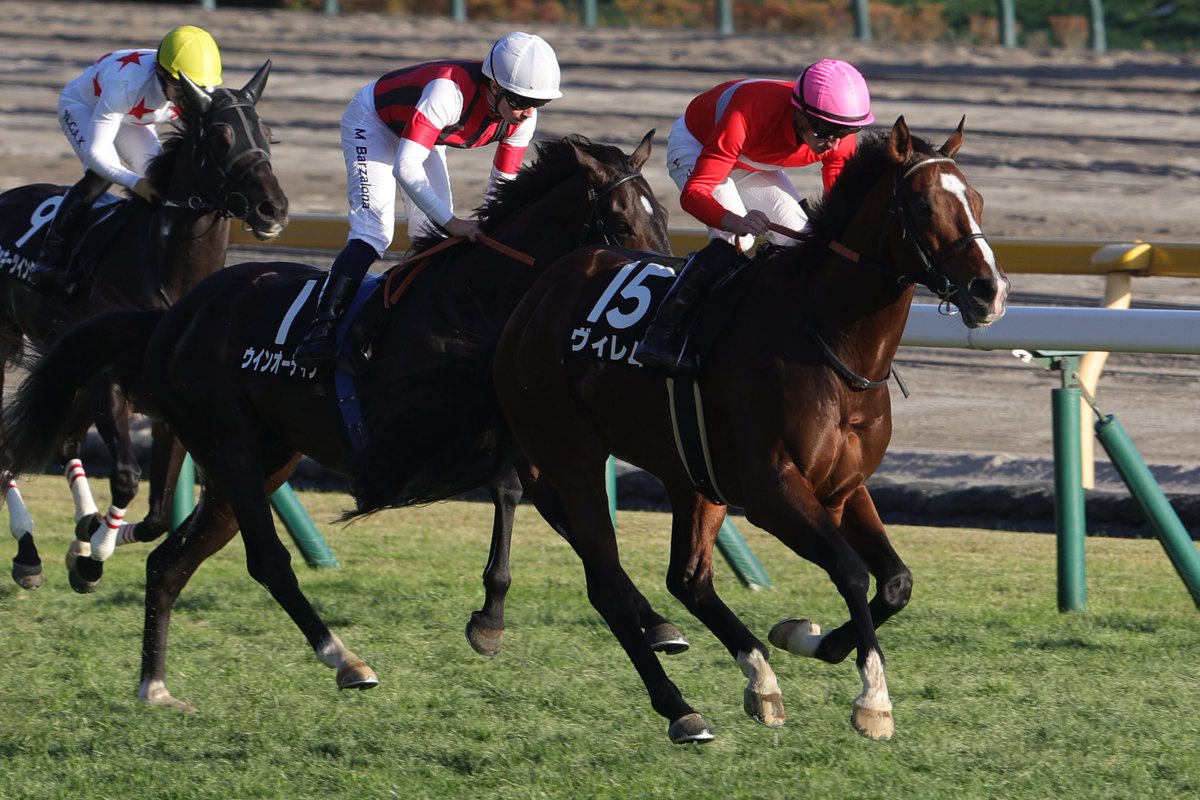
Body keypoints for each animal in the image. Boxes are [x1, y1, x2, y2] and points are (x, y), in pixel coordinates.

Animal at [0, 62, 289, 590]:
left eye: (267, 135)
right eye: (220, 136)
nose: (272, 209)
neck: (166, 269)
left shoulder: (168, 403)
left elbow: (157, 514)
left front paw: (88, 544)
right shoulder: (107, 382)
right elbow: (126, 478)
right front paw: (92, 555)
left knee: (64, 441)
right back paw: (27, 549)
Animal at [1, 132, 676, 710]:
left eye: (665, 218)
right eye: (620, 222)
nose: (661, 292)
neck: (471, 305)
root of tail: (171, 319)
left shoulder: (524, 436)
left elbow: (562, 516)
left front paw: (655, 621)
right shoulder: (407, 449)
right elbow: (511, 488)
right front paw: (490, 617)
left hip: (264, 460)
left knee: (169, 563)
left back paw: (155, 684)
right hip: (230, 444)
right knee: (266, 560)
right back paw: (343, 658)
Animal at [492, 117, 1010, 743]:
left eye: (976, 199)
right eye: (922, 204)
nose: (989, 290)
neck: (830, 342)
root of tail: (540, 290)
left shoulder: (843, 487)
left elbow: (895, 581)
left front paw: (807, 639)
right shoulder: (772, 491)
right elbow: (850, 571)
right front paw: (873, 699)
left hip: (692, 476)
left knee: (688, 578)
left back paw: (760, 678)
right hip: (574, 457)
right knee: (609, 584)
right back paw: (681, 710)